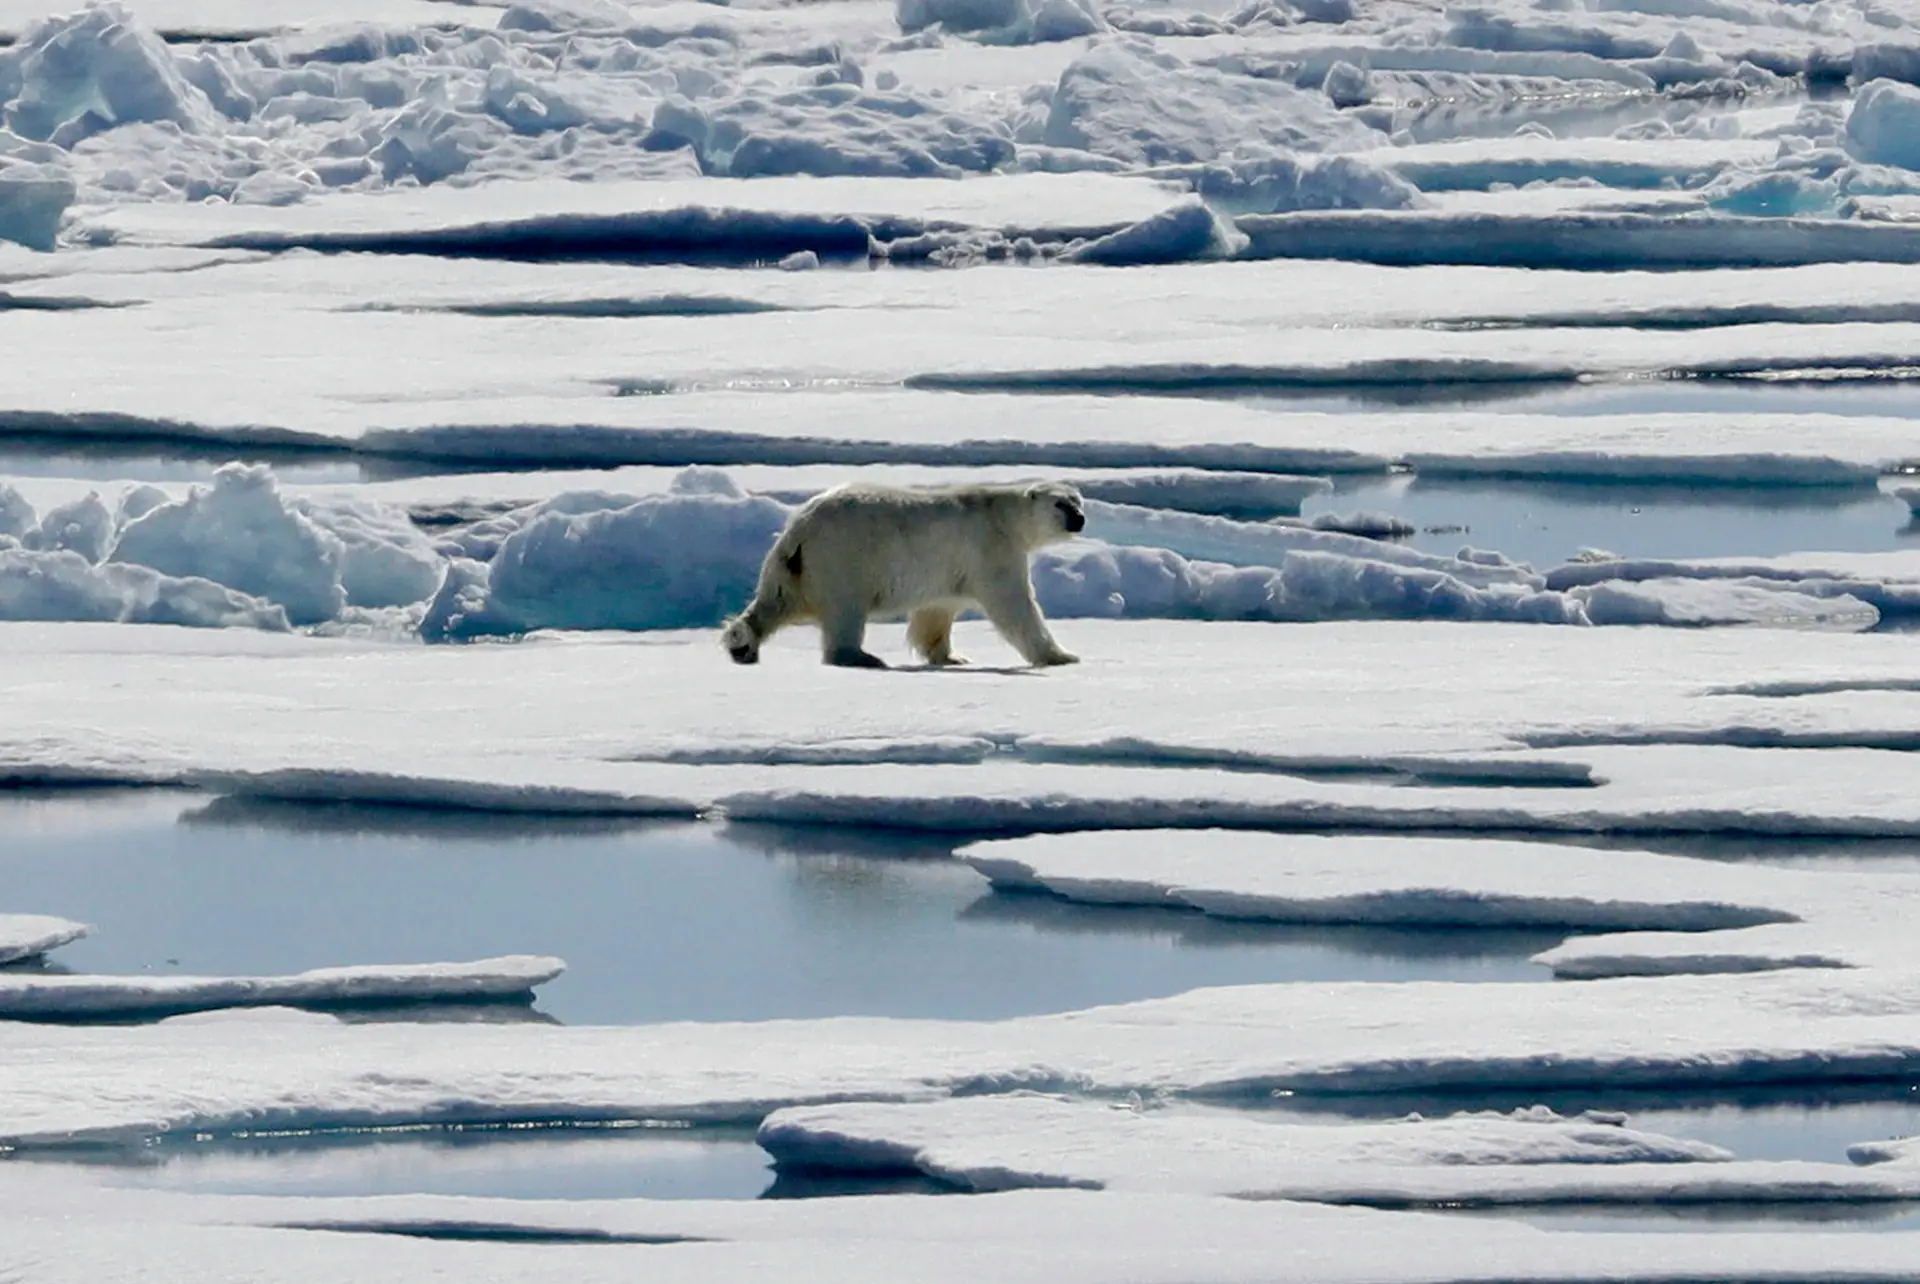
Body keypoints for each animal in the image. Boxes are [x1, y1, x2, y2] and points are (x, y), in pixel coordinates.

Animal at [721, 475, 1090, 667]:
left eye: (1078, 500)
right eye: (1060, 503)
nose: (1080, 519)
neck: (1003, 515)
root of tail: (800, 528)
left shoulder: (951, 568)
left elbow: (937, 611)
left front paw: (951, 657)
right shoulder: (991, 548)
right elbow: (1014, 605)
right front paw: (1061, 655)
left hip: (791, 567)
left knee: (775, 601)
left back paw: (742, 644)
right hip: (844, 558)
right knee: (845, 611)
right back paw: (861, 656)